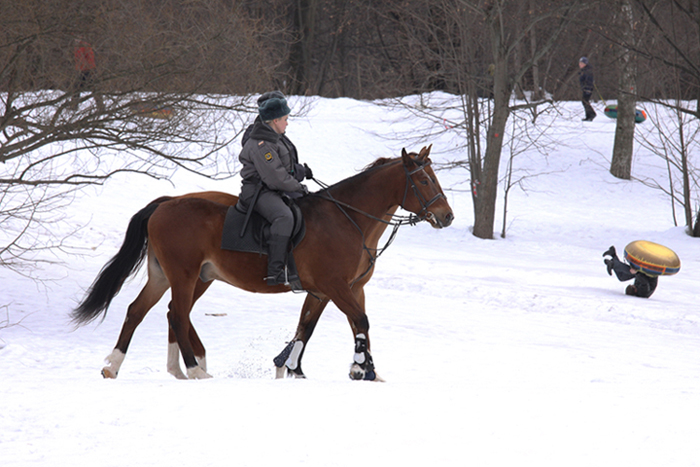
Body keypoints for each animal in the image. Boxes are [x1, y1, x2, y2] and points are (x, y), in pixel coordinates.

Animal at [71, 146, 454, 380]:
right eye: (423, 180)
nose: (447, 216)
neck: (349, 220)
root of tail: (165, 203)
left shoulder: (336, 290)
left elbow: (310, 327)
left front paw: (295, 368)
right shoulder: (335, 287)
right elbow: (359, 321)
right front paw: (360, 369)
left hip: (177, 276)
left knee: (142, 310)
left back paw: (124, 366)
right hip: (184, 275)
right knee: (176, 314)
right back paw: (194, 370)